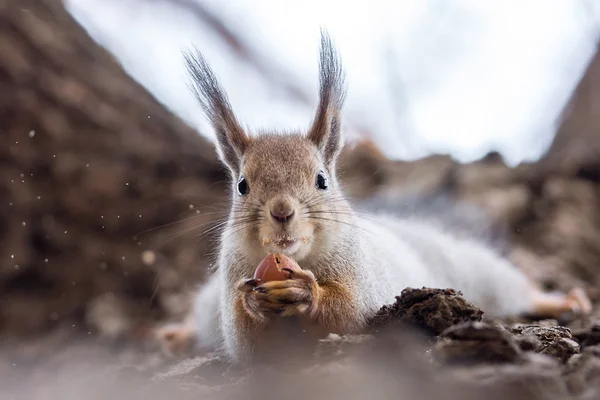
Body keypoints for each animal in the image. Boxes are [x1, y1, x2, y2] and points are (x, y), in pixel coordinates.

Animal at [154, 30, 592, 362]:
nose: (281, 211)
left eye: (321, 179)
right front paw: (255, 305)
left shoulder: (365, 281)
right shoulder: (231, 281)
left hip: (475, 270)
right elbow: (246, 341)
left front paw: (306, 292)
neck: (301, 258)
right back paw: (180, 333)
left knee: (514, 286)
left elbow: (347, 313)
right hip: (208, 302)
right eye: (242, 185)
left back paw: (560, 301)